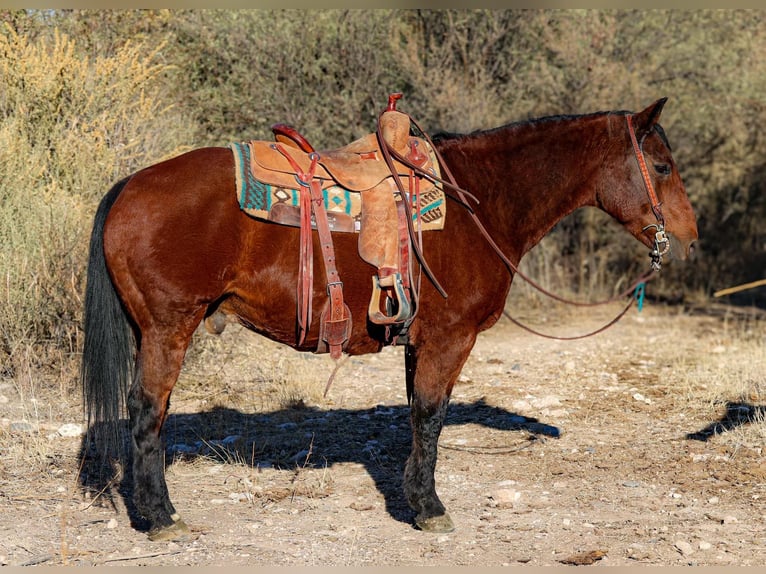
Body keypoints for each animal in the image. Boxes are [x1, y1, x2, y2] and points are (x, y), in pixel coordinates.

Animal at [81, 97, 698, 541]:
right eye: (662, 166)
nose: (689, 238)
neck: (479, 200)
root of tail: (130, 185)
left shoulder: (417, 340)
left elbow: (418, 416)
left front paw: (413, 497)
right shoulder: (450, 338)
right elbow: (431, 415)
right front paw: (429, 509)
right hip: (169, 328)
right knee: (147, 411)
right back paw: (162, 517)